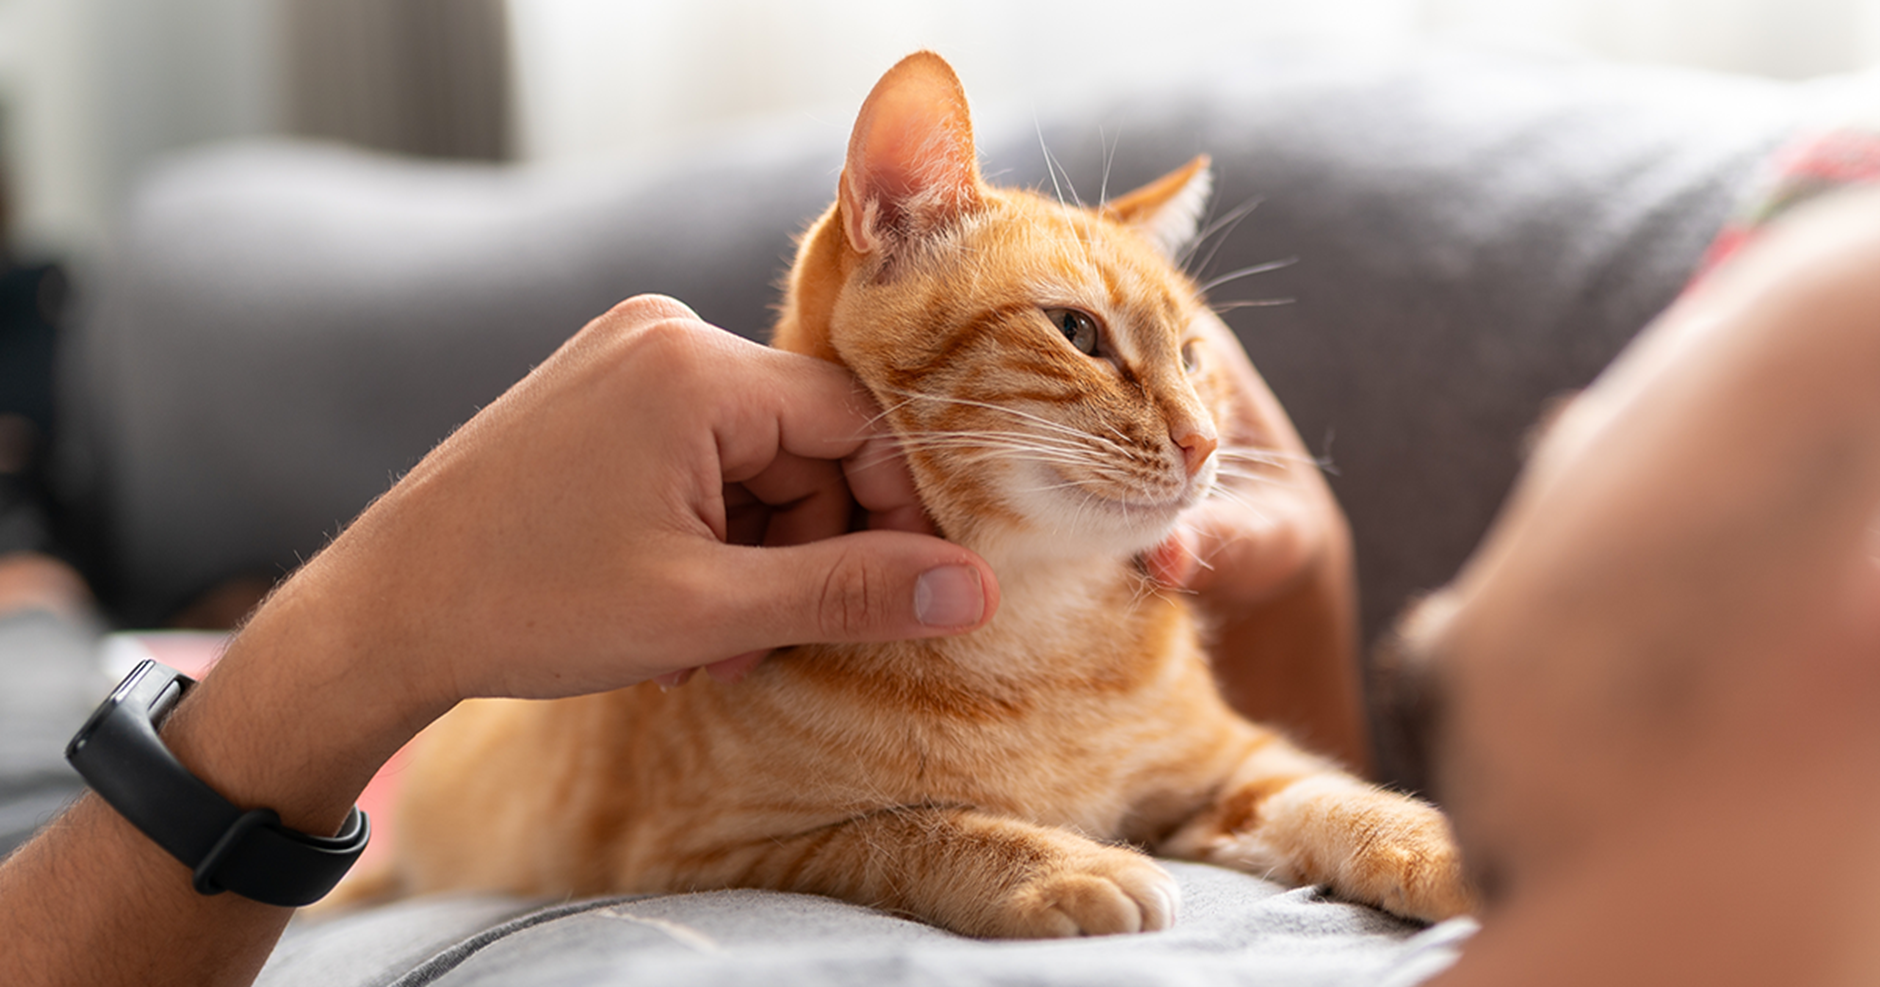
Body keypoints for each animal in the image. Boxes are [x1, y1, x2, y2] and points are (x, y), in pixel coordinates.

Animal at [366, 51, 1473, 932]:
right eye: (1079, 332)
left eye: (1197, 358)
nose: (1204, 443)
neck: (1038, 640)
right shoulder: (720, 851)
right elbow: (918, 831)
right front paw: (1062, 864)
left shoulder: (1227, 772)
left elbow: (1335, 793)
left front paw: (1446, 847)